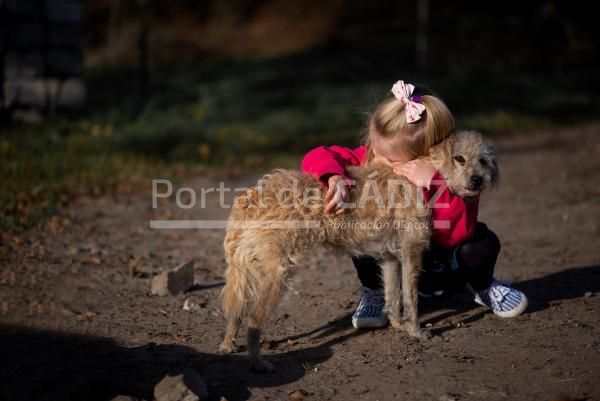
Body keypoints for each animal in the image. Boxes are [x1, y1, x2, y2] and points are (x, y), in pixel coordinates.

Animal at [218, 130, 500, 372]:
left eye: (483, 161)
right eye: (459, 158)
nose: (477, 180)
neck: (423, 173)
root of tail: (250, 197)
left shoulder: (390, 257)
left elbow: (392, 296)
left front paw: (397, 325)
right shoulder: (412, 252)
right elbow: (410, 299)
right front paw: (416, 332)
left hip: (245, 271)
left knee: (236, 311)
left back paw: (227, 345)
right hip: (277, 273)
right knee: (253, 320)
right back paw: (257, 362)